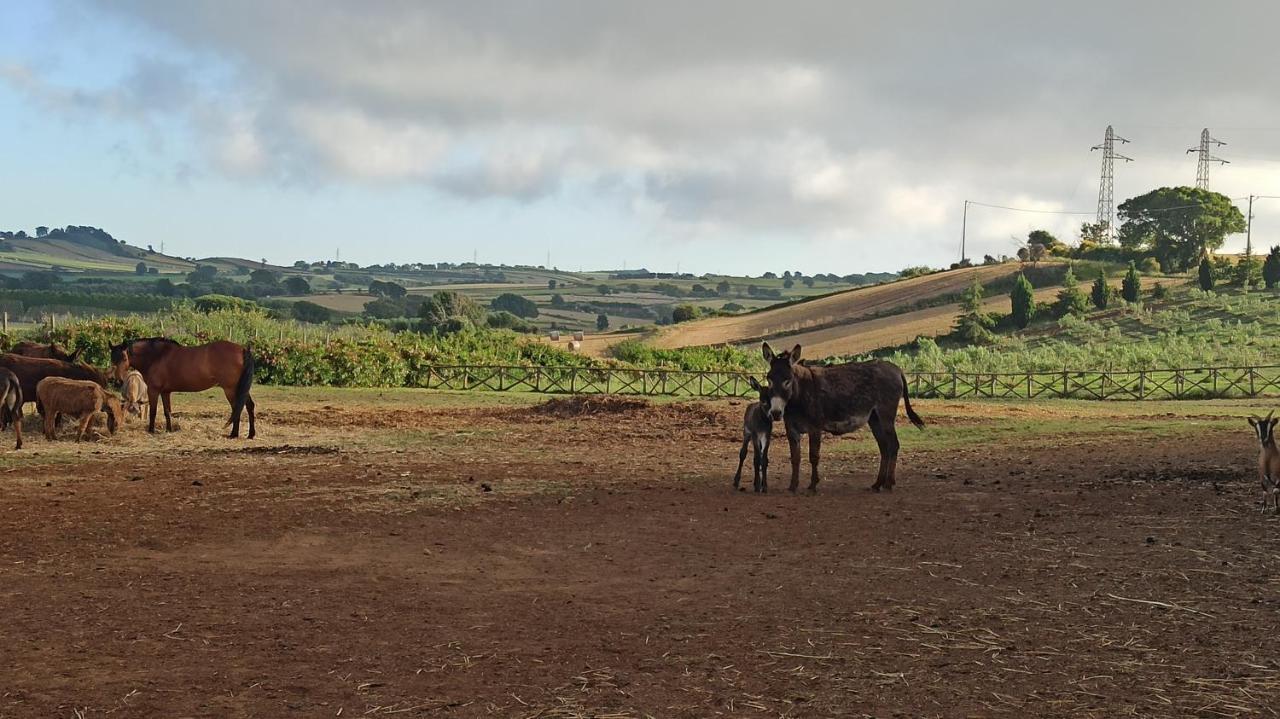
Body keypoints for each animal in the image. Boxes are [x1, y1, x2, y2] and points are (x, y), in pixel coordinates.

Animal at [112, 337, 257, 437]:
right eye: (113, 359)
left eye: (124, 358)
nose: (118, 381)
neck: (157, 356)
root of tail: (242, 350)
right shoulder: (165, 392)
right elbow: (167, 411)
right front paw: (169, 429)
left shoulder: (154, 390)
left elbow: (153, 412)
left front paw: (151, 430)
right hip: (240, 389)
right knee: (249, 405)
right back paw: (250, 434)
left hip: (231, 390)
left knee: (237, 408)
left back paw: (234, 434)